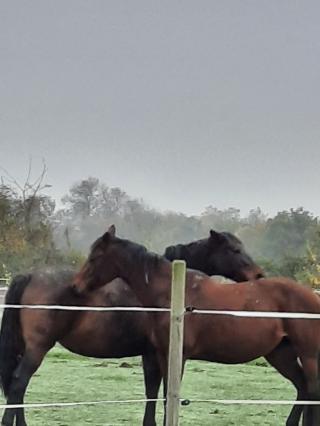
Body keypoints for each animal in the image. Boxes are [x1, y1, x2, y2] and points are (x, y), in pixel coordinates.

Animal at [0, 230, 262, 426]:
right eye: (234, 250)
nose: (258, 275)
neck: (162, 287)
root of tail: (29, 276)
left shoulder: (150, 354)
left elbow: (151, 392)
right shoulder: (158, 354)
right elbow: (160, 394)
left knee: (18, 387)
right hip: (38, 347)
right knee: (19, 383)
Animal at [74, 228, 320, 426]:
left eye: (95, 257)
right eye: (234, 250)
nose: (77, 286)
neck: (172, 292)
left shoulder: (176, 356)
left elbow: (167, 397)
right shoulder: (160, 354)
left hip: (308, 356)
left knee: (312, 391)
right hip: (280, 354)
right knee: (303, 388)